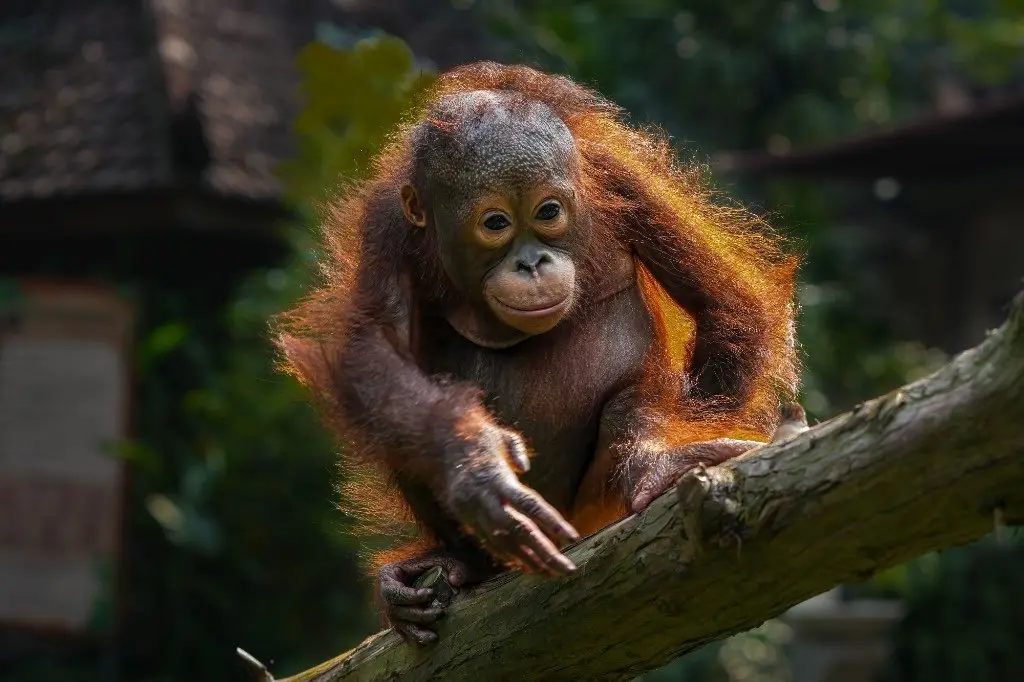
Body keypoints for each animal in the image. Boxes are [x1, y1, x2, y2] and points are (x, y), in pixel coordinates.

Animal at [276, 62, 801, 645]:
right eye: (495, 223)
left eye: (548, 212)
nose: (531, 263)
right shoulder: (386, 224)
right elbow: (375, 350)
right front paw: (477, 466)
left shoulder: (618, 176)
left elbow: (725, 303)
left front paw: (665, 451)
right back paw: (461, 564)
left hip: (592, 502)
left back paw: (651, 465)